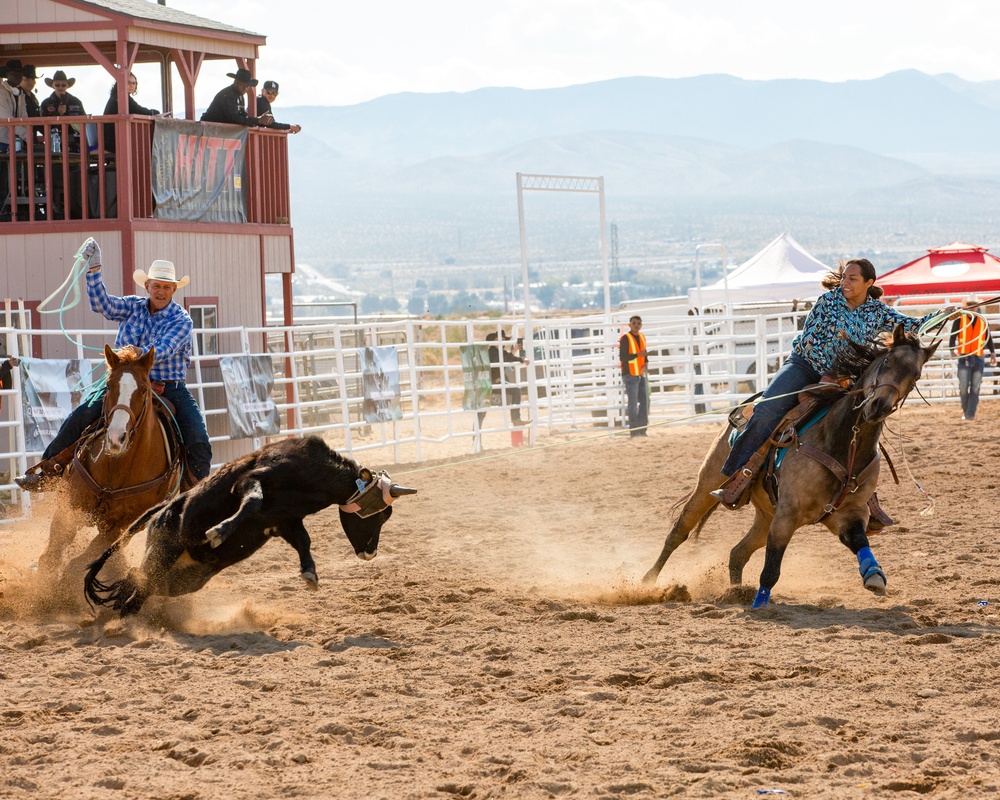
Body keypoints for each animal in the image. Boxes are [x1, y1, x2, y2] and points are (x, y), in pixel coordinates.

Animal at [37, 344, 186, 576]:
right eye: (108, 386)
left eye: (143, 389)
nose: (116, 437)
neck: (115, 469)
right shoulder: (69, 507)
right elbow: (51, 554)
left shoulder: (119, 526)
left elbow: (84, 559)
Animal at [640, 324, 936, 608]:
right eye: (886, 361)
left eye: (915, 377)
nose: (878, 407)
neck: (841, 443)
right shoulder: (787, 514)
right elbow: (772, 568)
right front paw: (761, 604)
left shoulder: (848, 513)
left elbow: (859, 540)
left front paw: (873, 575)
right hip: (708, 484)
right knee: (678, 533)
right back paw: (646, 584)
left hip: (765, 515)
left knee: (737, 553)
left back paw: (735, 593)